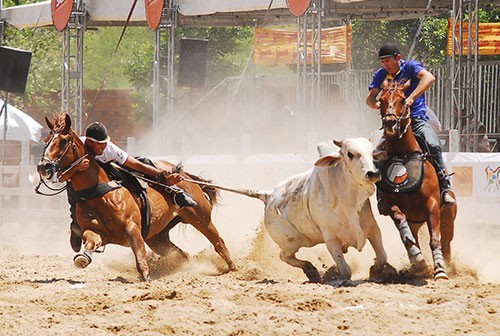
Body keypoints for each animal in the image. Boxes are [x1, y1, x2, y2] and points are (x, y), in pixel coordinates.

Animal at [37, 113, 236, 280]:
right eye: (46, 140)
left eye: (63, 141)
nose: (43, 167)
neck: (99, 193)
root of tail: (187, 176)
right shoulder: (96, 232)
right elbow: (90, 241)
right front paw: (83, 258)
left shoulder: (132, 228)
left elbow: (139, 256)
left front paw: (146, 278)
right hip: (157, 238)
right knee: (181, 255)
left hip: (202, 219)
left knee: (219, 243)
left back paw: (233, 268)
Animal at [213, 138, 396, 282]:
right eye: (350, 154)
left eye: (372, 153)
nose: (373, 173)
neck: (347, 201)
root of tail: (268, 195)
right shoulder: (331, 240)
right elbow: (346, 271)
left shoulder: (373, 229)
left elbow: (382, 257)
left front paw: (379, 270)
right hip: (292, 242)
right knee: (284, 256)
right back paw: (311, 271)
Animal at [378, 80, 458, 280]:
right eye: (381, 100)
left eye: (402, 99)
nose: (390, 122)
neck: (403, 155)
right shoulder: (390, 205)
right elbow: (404, 229)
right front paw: (418, 259)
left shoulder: (432, 205)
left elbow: (435, 239)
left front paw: (440, 270)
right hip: (416, 221)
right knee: (414, 235)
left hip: (448, 218)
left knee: (446, 243)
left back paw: (449, 267)